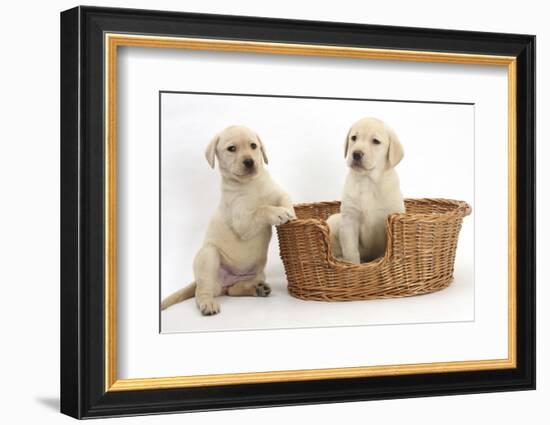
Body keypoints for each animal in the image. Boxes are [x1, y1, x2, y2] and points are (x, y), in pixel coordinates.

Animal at [162, 124, 296, 314]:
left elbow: (284, 200)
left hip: (257, 273)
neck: (251, 183)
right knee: (201, 292)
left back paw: (257, 289)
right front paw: (279, 214)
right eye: (232, 149)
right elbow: (261, 209)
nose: (249, 162)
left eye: (253, 146)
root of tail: (227, 281)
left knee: (233, 290)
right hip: (209, 256)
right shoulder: (242, 222)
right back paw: (208, 304)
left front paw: (292, 214)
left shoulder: (278, 193)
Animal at [328, 116, 406, 262]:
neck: (368, 181)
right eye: (354, 138)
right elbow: (351, 250)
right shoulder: (349, 220)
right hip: (335, 221)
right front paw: (352, 264)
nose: (356, 154)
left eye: (375, 141)